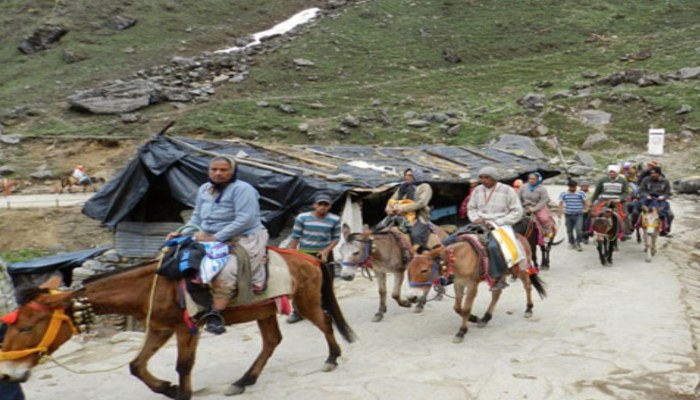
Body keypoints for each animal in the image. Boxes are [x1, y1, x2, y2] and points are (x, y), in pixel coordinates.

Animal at [0, 248, 356, 398]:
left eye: (26, 327)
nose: (8, 374)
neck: (148, 287)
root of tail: (309, 258)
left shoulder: (187, 328)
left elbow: (183, 365)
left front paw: (180, 392)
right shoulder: (159, 328)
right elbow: (136, 366)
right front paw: (167, 388)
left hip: (306, 301)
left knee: (325, 323)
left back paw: (332, 358)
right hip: (264, 311)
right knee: (271, 341)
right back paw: (243, 381)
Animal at [402, 234, 544, 344]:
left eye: (424, 270)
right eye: (408, 270)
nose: (412, 297)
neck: (458, 258)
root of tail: (521, 237)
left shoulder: (472, 285)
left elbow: (465, 309)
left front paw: (461, 332)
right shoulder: (459, 283)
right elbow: (457, 308)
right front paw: (474, 318)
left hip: (522, 269)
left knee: (527, 287)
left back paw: (529, 309)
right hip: (500, 275)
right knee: (497, 294)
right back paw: (485, 318)